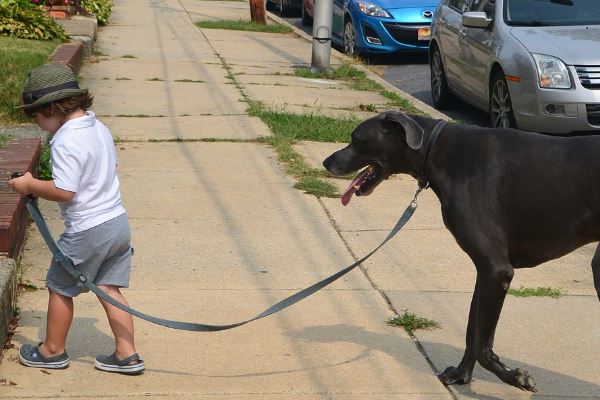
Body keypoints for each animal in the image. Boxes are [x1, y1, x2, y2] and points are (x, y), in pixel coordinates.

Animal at [324, 111, 600, 392]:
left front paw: (515, 376)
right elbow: (472, 332)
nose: (327, 162)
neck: (437, 149)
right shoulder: (485, 271)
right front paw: (461, 373)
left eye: (356, 139)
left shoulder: (496, 269)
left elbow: (482, 344)